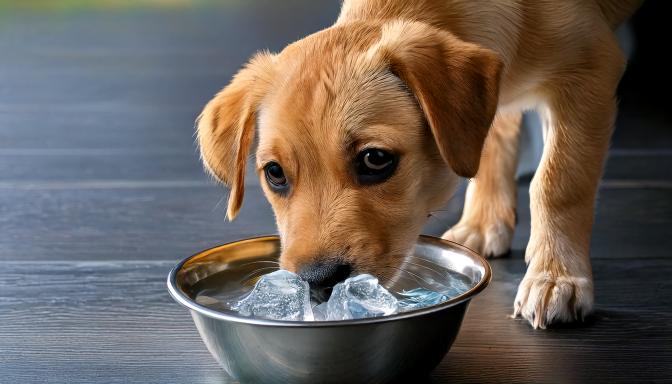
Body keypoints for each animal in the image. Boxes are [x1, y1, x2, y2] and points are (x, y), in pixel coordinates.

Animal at [194, 0, 640, 330]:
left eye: (375, 159)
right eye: (275, 173)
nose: (318, 282)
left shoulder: (590, 68)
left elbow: (558, 180)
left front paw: (556, 276)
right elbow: (491, 139)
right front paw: (484, 223)